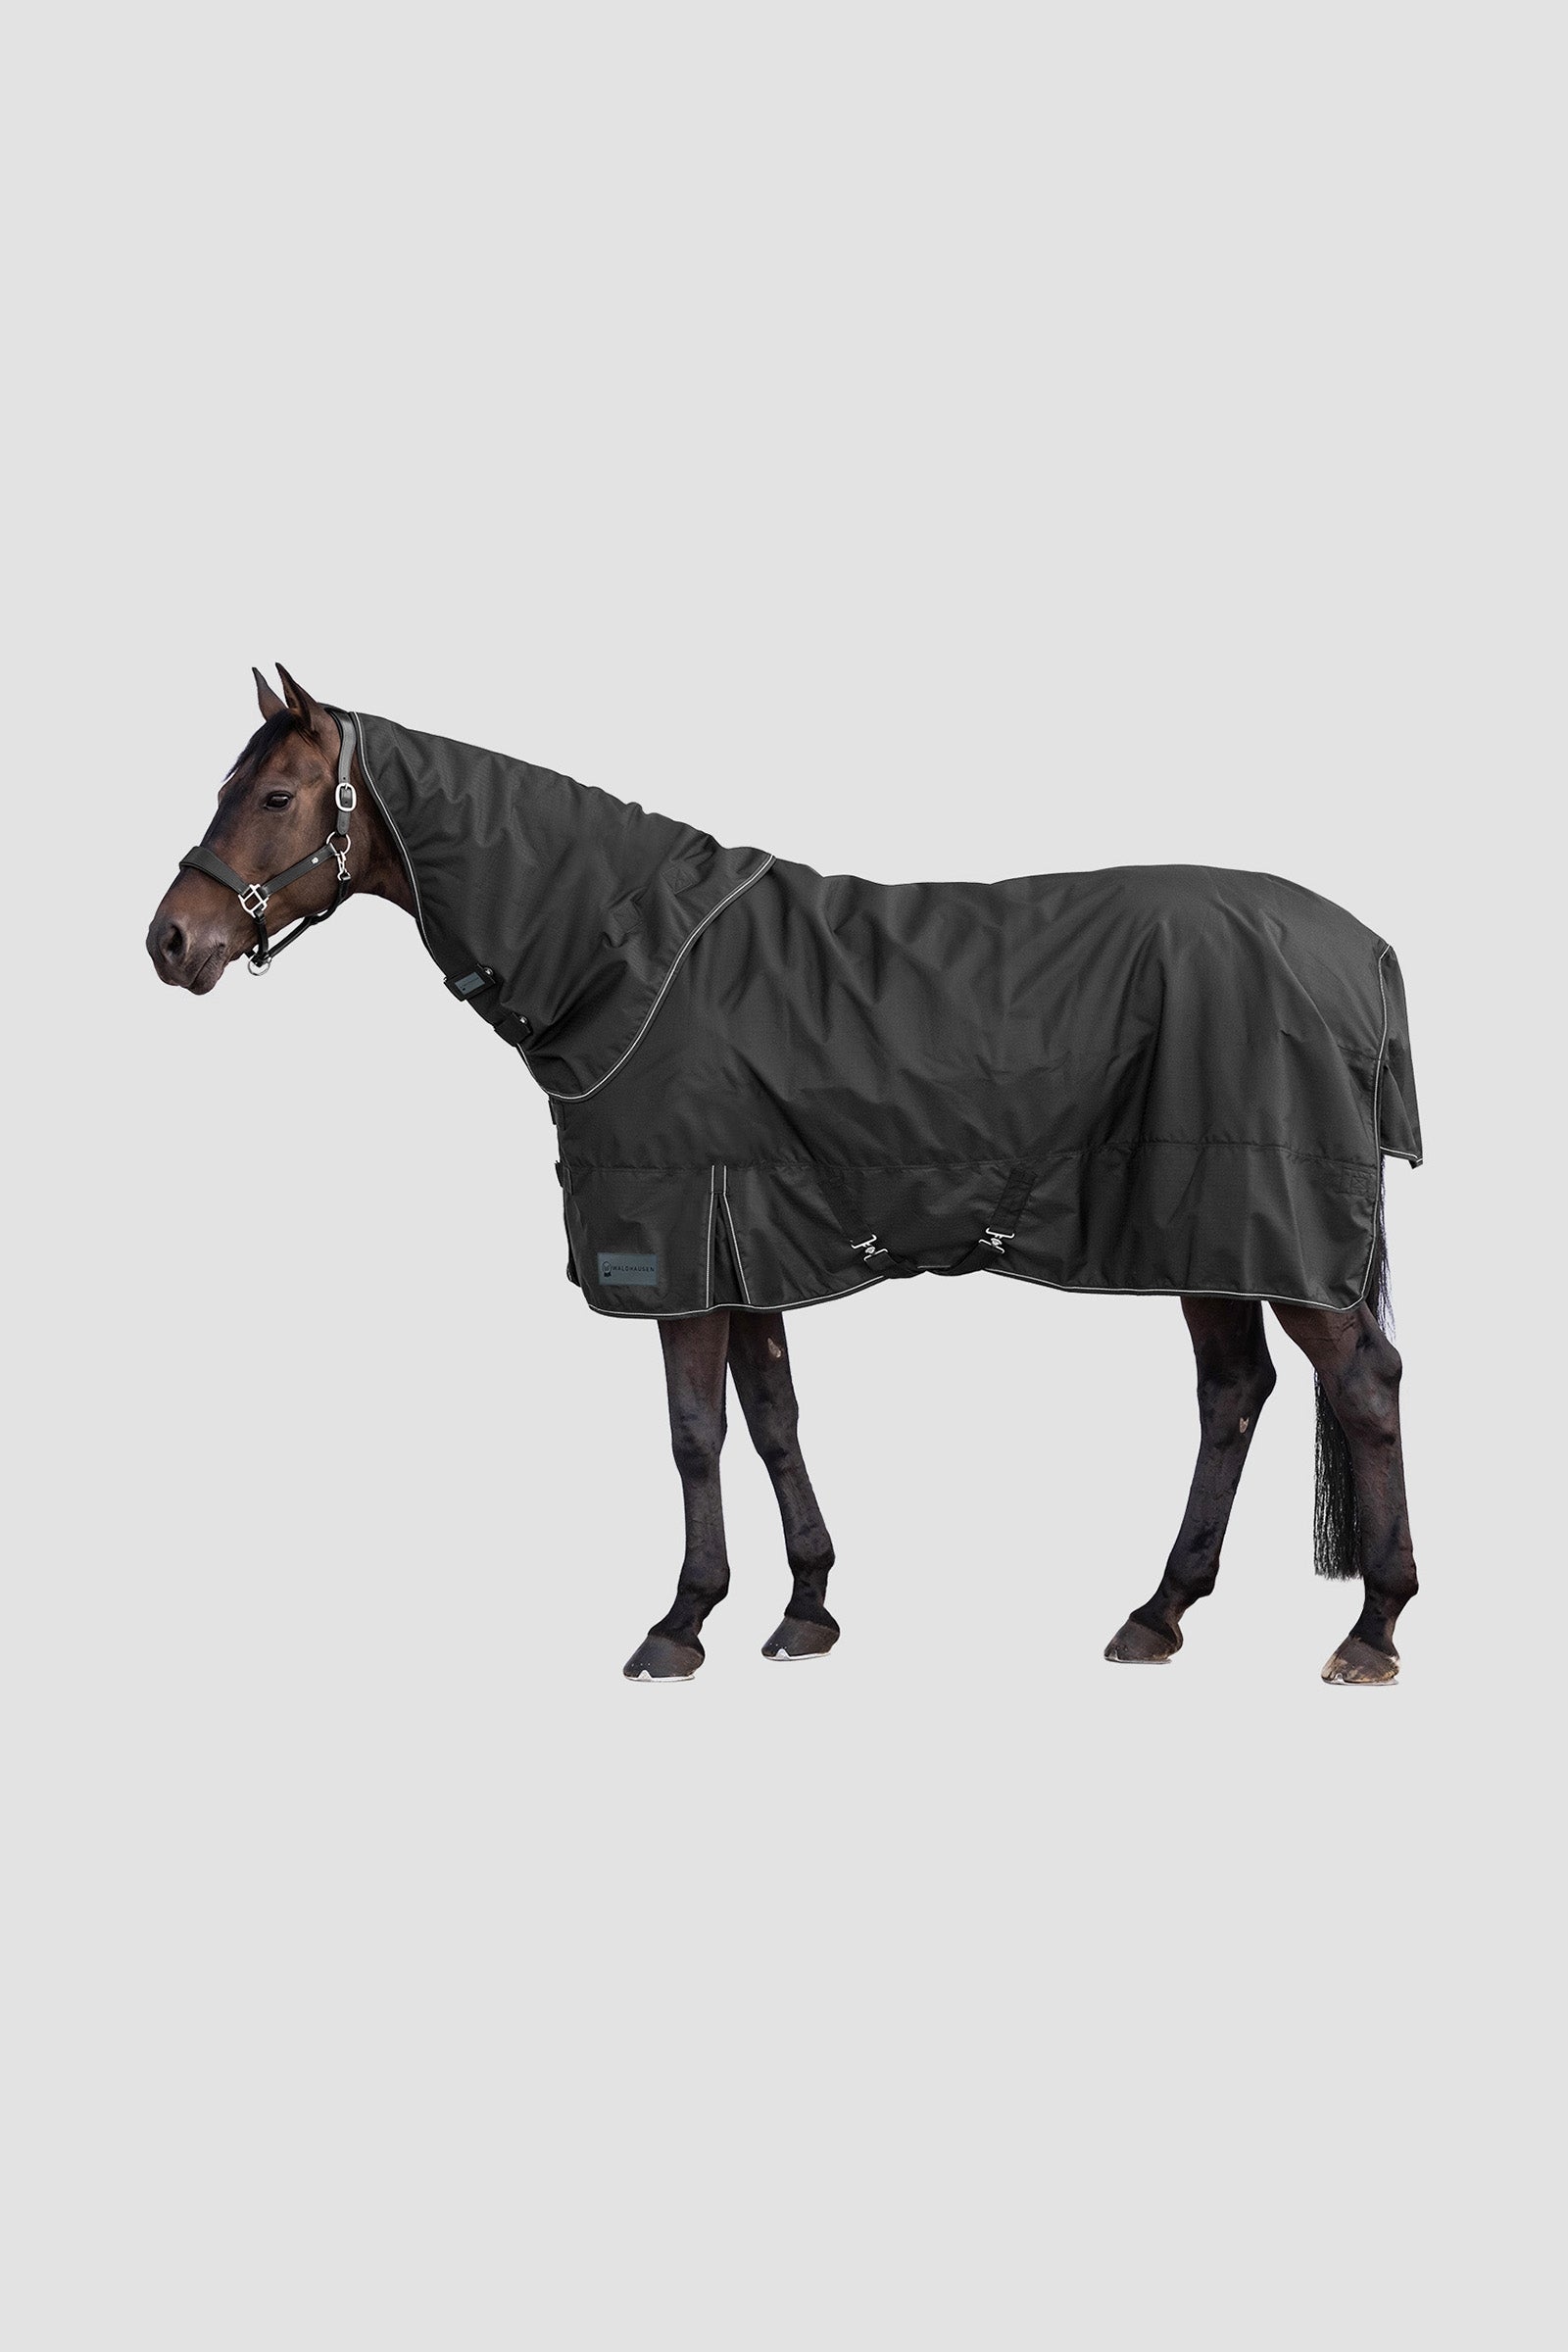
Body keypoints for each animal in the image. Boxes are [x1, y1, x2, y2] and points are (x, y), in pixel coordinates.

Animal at [147, 668, 1420, 1686]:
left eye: (275, 797)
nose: (170, 942)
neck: (622, 954)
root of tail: (1360, 950)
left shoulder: (677, 1242)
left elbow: (693, 1433)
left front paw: (679, 1625)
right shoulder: (746, 1239)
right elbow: (770, 1421)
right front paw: (805, 1609)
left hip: (1268, 1226)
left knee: (1362, 1386)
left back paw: (1370, 1631)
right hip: (1207, 1228)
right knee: (1233, 1394)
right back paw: (1157, 1615)